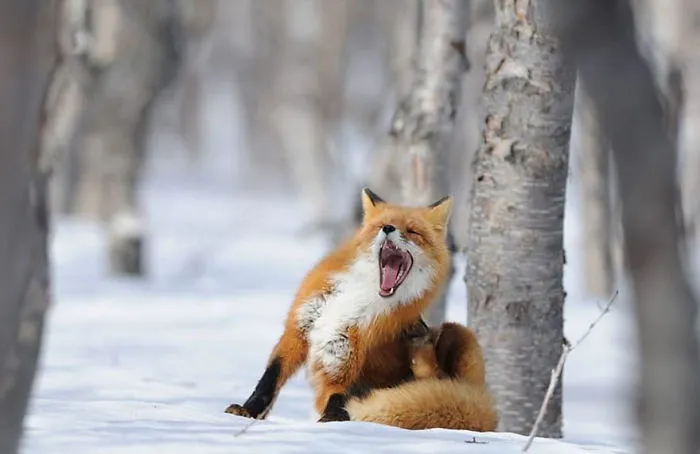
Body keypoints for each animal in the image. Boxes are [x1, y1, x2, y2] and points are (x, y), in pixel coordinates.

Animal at [225, 188, 453, 422]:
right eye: (381, 226)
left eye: (413, 231)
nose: (388, 229)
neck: (360, 293)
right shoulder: (299, 329)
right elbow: (270, 379)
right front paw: (248, 410)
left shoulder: (341, 353)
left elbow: (335, 397)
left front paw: (332, 423)